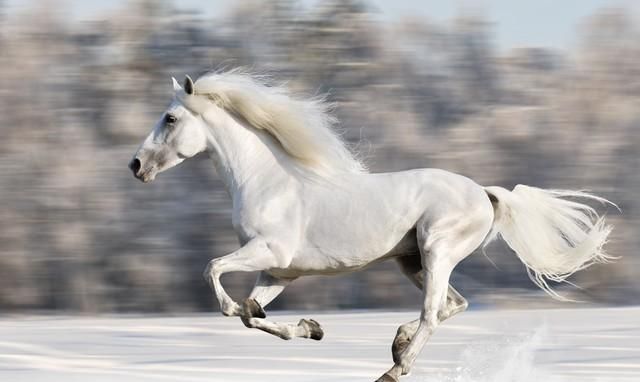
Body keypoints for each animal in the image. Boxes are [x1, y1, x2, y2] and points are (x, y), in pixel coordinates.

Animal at [127, 69, 612, 382]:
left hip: (436, 251)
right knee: (454, 305)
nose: (135, 165)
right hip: (412, 261)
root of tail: (485, 194)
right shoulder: (279, 272)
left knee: (434, 312)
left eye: (170, 118)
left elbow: (215, 275)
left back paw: (394, 368)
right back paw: (397, 342)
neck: (268, 181)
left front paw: (252, 311)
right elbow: (253, 316)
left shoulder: (266, 253)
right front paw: (311, 327)